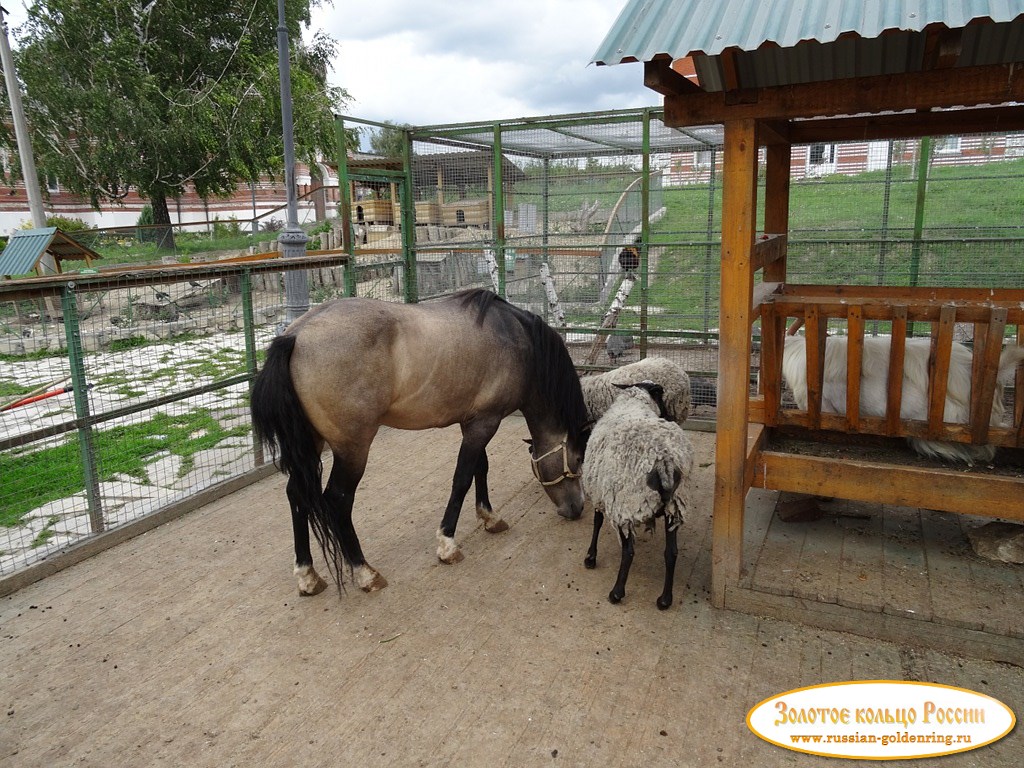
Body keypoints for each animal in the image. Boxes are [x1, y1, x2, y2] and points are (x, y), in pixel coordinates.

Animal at [248, 286, 589, 593]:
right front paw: (447, 544)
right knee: (338, 500)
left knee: (296, 495)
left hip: (311, 444)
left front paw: (490, 517)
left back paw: (307, 576)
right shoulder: (485, 423)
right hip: (352, 449)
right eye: (577, 459)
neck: (517, 339)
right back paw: (365, 573)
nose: (577, 508)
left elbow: (480, 467)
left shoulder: (473, 422)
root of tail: (295, 336)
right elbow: (462, 478)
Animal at [585, 382, 696, 610]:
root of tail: (664, 461)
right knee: (671, 552)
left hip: (625, 505)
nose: (669, 415)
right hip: (674, 505)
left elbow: (597, 522)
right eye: (661, 396)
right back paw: (665, 600)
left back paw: (616, 592)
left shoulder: (600, 492)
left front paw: (591, 557)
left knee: (628, 552)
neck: (633, 401)